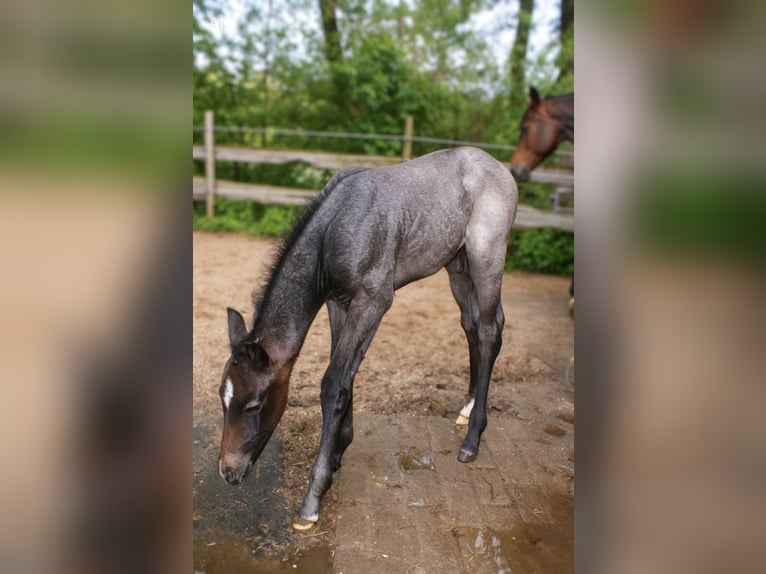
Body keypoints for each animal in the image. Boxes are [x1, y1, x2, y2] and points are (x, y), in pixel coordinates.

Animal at [217, 147, 518, 530]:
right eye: (221, 398)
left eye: (253, 405)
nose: (227, 472)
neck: (335, 228)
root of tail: (496, 165)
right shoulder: (338, 303)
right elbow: (345, 377)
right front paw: (337, 453)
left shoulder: (373, 301)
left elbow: (334, 383)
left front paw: (312, 498)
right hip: (458, 264)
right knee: (472, 325)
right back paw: (465, 409)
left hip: (486, 255)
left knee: (490, 332)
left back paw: (473, 438)